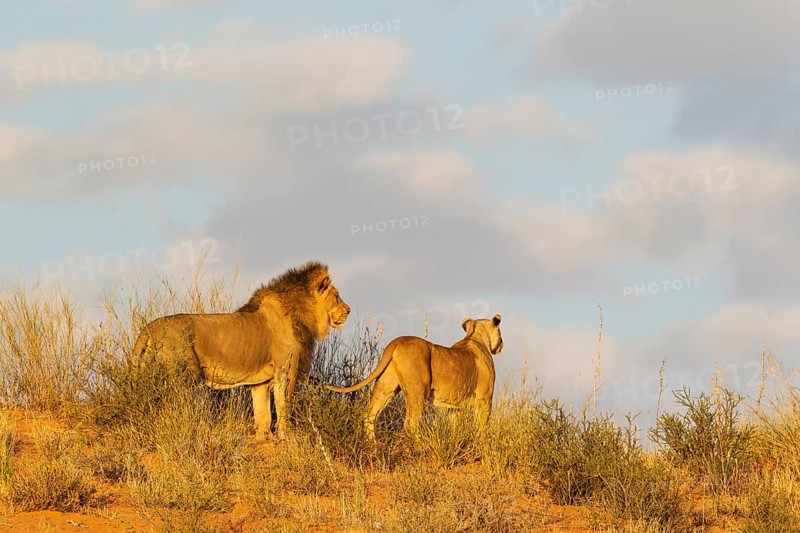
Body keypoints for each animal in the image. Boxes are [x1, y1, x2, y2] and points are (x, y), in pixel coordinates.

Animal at [132, 261, 350, 440]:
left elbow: (262, 414)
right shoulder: (286, 371)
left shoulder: (260, 382)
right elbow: (284, 407)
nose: (348, 311)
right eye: (337, 296)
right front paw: (286, 437)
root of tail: (149, 328)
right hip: (186, 375)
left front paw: (264, 439)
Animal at [326, 314, 503, 440]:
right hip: (418, 389)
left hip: (386, 386)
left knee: (370, 416)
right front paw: (484, 442)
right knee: (411, 423)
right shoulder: (485, 397)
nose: (502, 344)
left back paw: (373, 445)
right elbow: (483, 425)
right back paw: (421, 446)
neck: (475, 337)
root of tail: (398, 340)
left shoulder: (454, 405)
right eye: (500, 332)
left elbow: (455, 426)